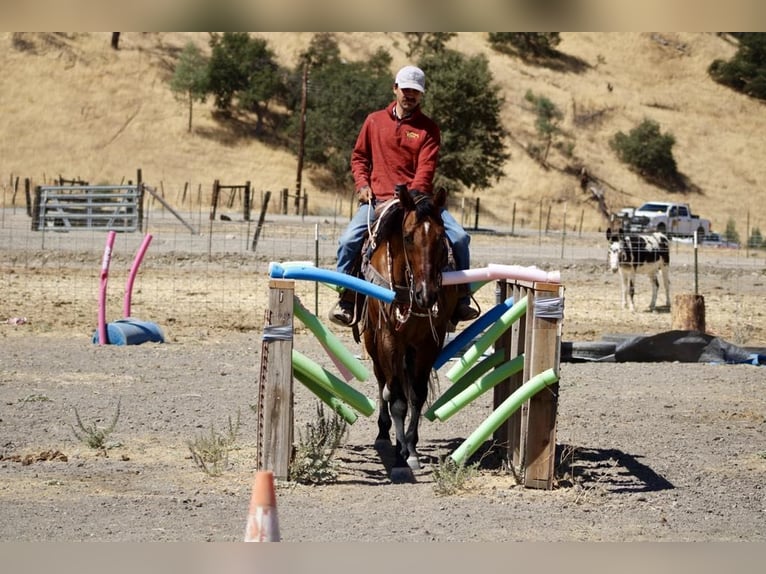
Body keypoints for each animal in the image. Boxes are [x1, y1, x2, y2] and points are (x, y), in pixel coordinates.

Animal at [356, 185, 459, 479]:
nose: (427, 295)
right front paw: (400, 460)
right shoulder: (389, 340)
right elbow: (398, 401)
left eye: (441, 238)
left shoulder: (428, 343)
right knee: (383, 383)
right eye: (408, 237)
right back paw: (383, 433)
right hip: (373, 342)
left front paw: (411, 450)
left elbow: (417, 395)